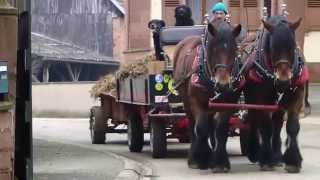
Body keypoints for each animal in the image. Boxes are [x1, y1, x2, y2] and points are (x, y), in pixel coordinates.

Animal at [172, 20, 240, 172]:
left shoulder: (229, 103)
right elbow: (201, 128)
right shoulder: (196, 101)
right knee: (193, 126)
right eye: (213, 50)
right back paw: (194, 157)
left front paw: (220, 162)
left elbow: (220, 130)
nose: (222, 84)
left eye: (234, 50)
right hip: (187, 102)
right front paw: (201, 158)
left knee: (211, 126)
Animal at [242, 15, 308, 173]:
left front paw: (293, 161)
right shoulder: (261, 100)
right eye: (272, 47)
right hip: (251, 99)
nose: (283, 80)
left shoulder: (296, 97)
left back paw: (277, 155)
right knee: (254, 120)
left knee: (277, 123)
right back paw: (254, 151)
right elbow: (266, 127)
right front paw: (266, 160)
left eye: (293, 47)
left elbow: (292, 127)